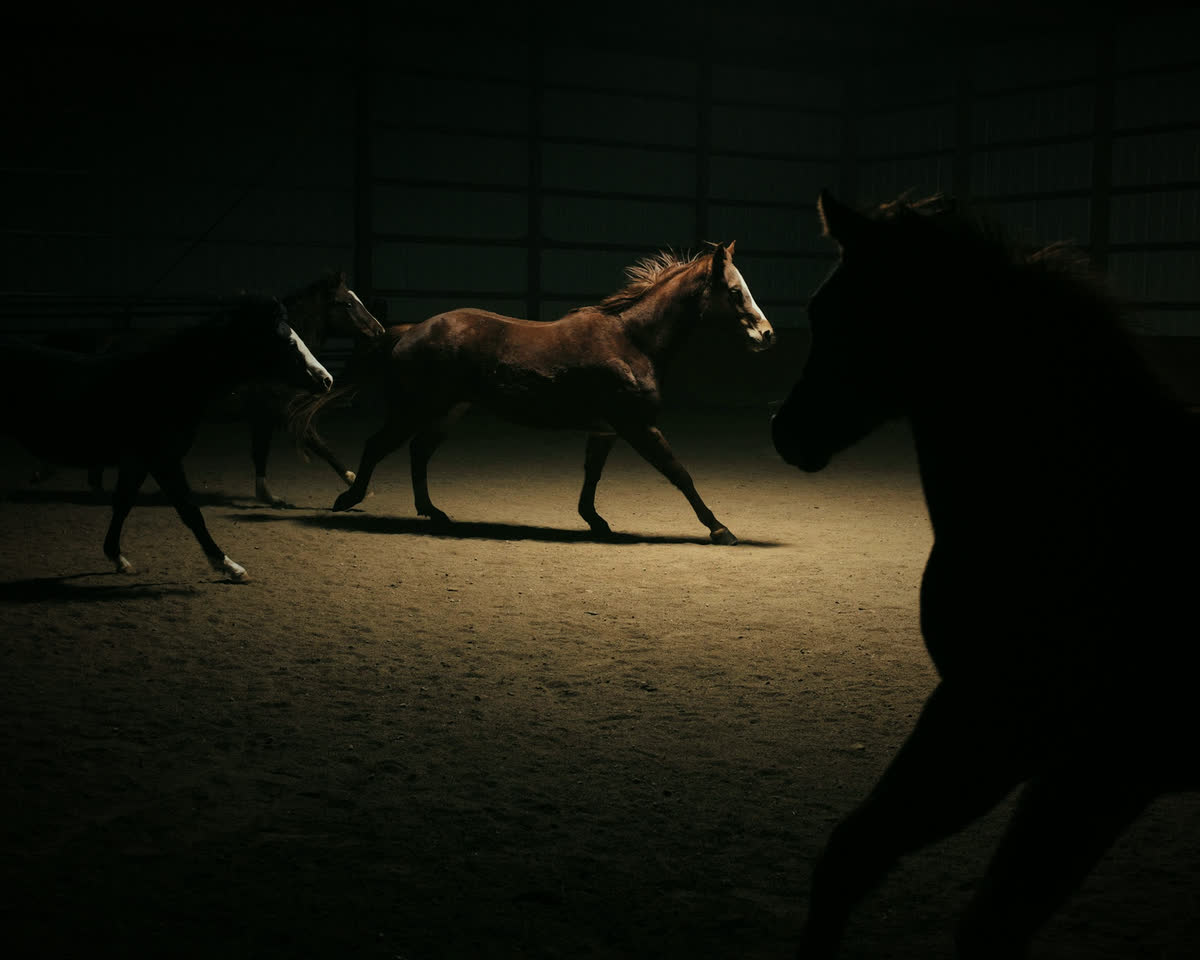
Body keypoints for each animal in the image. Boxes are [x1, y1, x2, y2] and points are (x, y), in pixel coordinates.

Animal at [1, 295, 333, 582]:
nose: (326, 380)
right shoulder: (164, 460)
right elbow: (190, 511)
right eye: (288, 342)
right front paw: (229, 566)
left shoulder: (137, 462)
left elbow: (123, 504)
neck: (163, 383)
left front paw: (117, 558)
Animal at [294, 242, 774, 543]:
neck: (632, 340)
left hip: (447, 410)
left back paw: (433, 512)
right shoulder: (638, 426)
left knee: (419, 451)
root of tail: (410, 330)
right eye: (735, 292)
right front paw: (719, 529)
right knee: (379, 446)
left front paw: (595, 521)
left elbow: (592, 475)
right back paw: (350, 498)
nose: (767, 335)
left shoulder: (606, 430)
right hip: (416, 407)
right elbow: (679, 474)